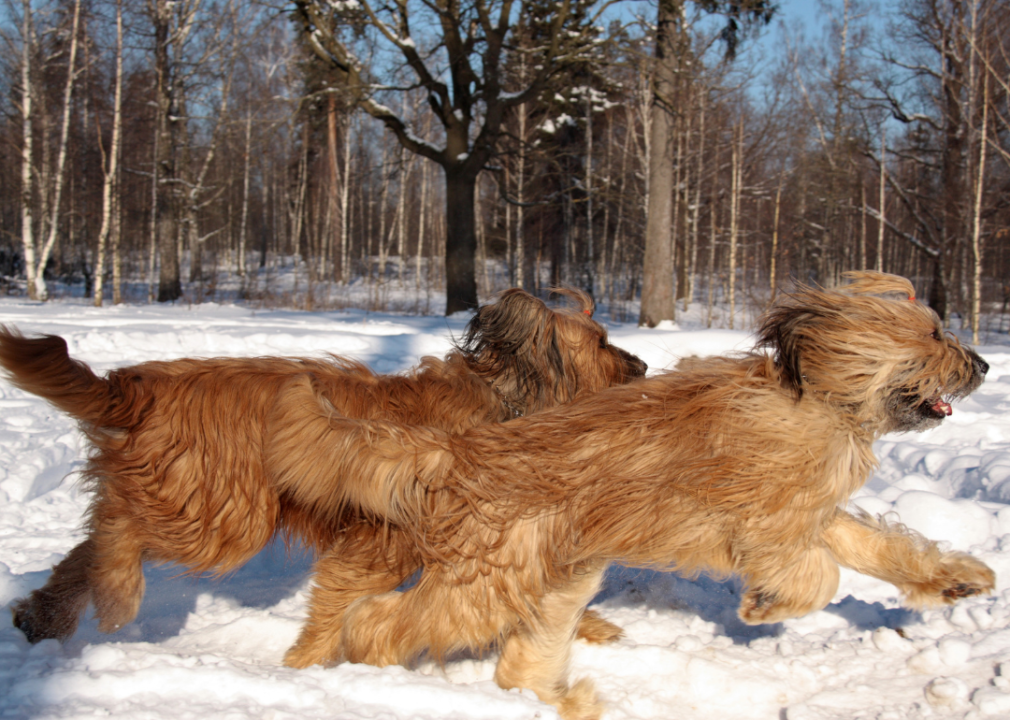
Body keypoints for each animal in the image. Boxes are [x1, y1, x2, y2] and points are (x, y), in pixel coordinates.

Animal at [0, 286, 646, 650]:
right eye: (601, 342)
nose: (641, 366)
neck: (501, 398)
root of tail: (136, 388)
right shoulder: (384, 541)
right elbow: (345, 592)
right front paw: (313, 656)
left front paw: (589, 627)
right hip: (225, 515)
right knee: (118, 530)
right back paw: (115, 592)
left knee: (91, 541)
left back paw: (43, 617)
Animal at [272, 270, 997, 718]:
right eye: (935, 334)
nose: (986, 364)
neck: (815, 398)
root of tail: (460, 452)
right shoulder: (767, 523)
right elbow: (818, 575)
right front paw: (764, 606)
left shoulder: (810, 513)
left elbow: (874, 546)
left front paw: (957, 578)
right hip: (485, 585)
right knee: (382, 621)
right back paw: (360, 659)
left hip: (560, 579)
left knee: (519, 664)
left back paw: (561, 701)